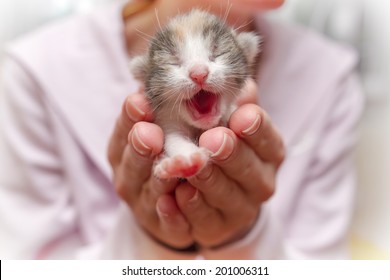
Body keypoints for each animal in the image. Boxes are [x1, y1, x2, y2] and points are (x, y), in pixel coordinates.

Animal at [129, 9, 260, 179]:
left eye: (216, 54)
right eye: (173, 62)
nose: (199, 74)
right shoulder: (169, 123)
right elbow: (174, 140)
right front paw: (185, 164)